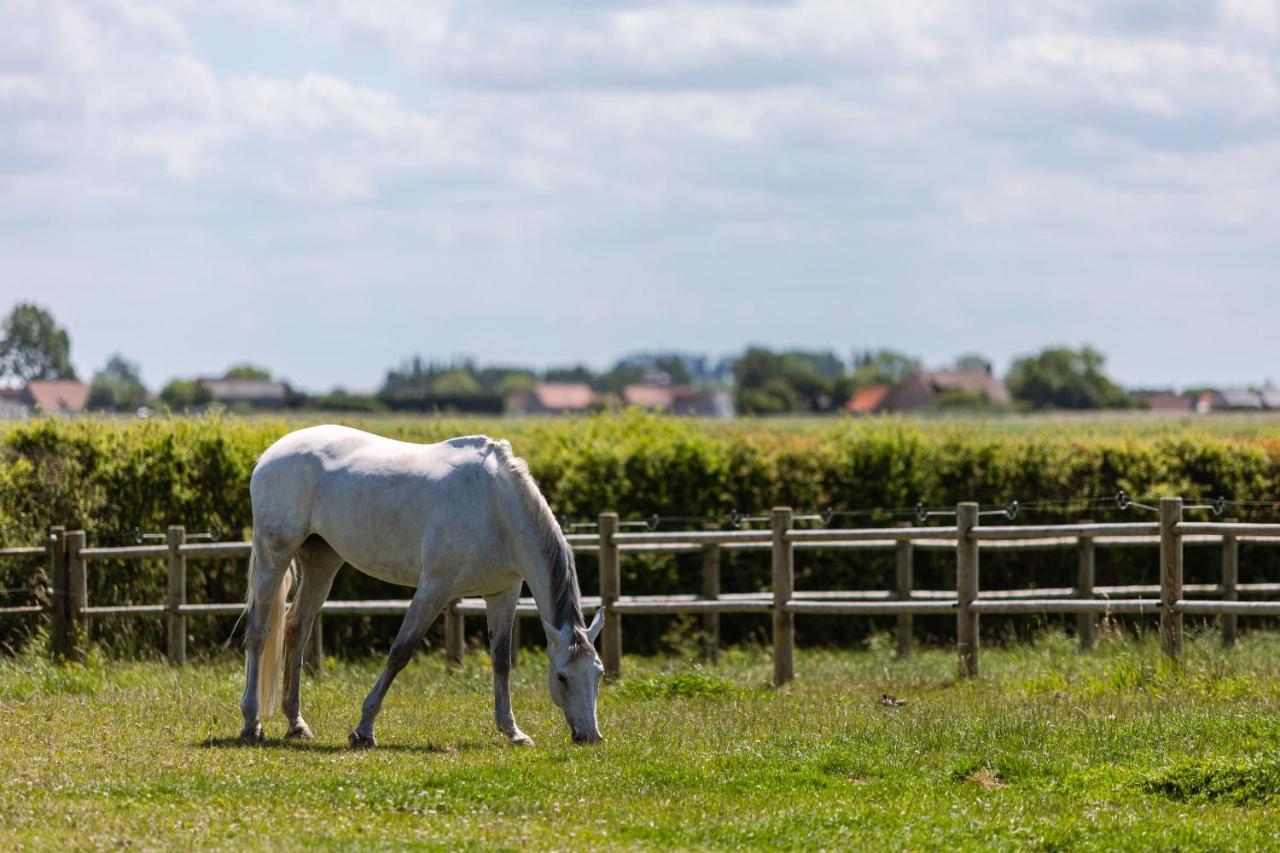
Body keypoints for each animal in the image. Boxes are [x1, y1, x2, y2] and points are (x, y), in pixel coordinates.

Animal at [240, 425, 609, 742]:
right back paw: (251, 723)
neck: (495, 505)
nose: (590, 736)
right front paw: (363, 729)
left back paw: (296, 724)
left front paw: (512, 731)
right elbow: (400, 652)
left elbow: (501, 660)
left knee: (297, 630)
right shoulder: (434, 589)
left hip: (322, 563)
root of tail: (273, 452)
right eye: (562, 677)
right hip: (274, 556)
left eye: (599, 673)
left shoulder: (502, 592)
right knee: (258, 632)